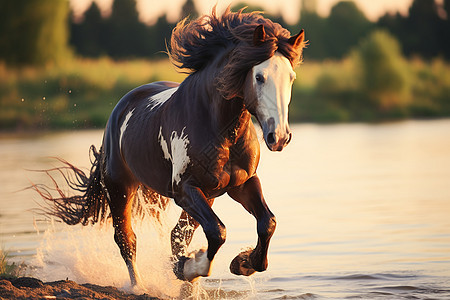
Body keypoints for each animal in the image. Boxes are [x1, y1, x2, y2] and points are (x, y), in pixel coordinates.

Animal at [36, 7, 306, 288]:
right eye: (259, 77)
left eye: (291, 77)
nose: (279, 137)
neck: (217, 127)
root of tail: (120, 109)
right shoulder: (184, 189)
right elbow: (217, 231)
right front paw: (190, 267)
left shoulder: (242, 183)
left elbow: (267, 223)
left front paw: (242, 263)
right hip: (121, 188)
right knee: (127, 239)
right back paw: (139, 286)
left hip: (206, 194)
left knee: (176, 234)